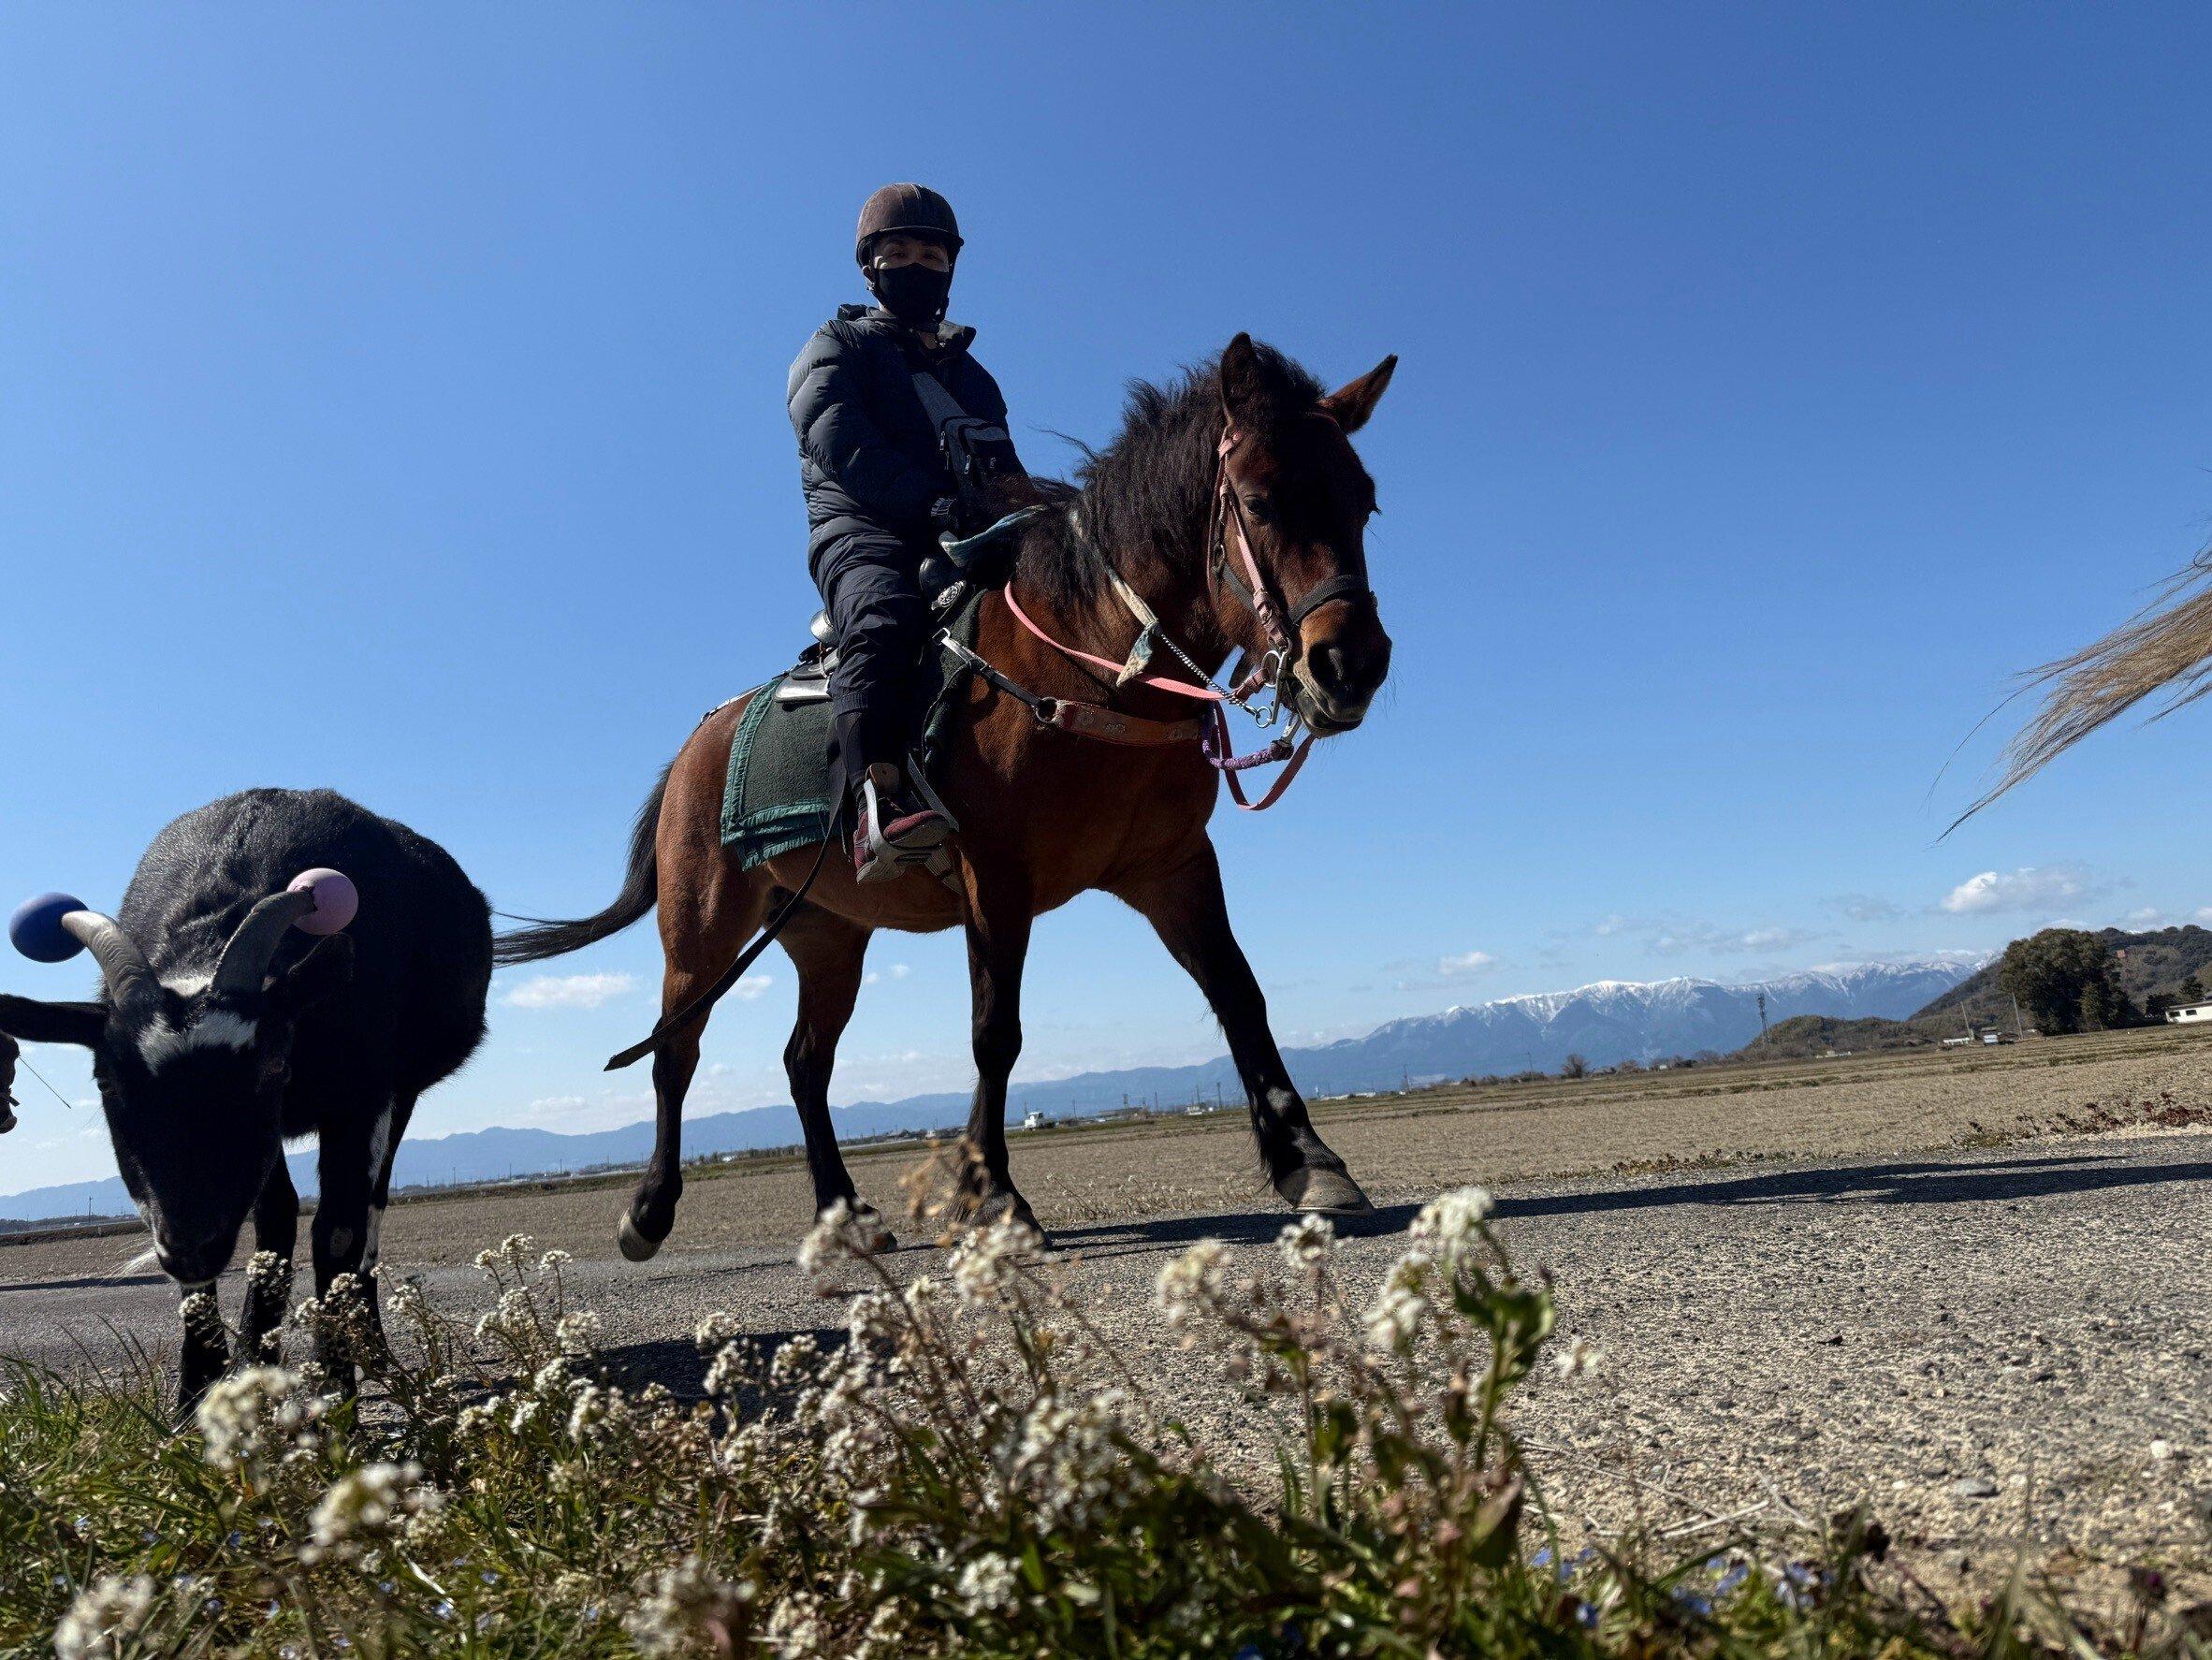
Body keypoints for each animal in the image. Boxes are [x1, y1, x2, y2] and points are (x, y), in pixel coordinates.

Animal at [498, 334, 1397, 1255]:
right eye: (1259, 500)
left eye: (1363, 501)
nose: (1350, 663)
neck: (1088, 661)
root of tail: (692, 750)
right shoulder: (995, 878)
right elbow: (995, 1033)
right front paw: (996, 1195)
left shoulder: (1171, 867)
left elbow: (1239, 993)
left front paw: (1311, 1160)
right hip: (701, 929)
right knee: (677, 1054)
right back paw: (649, 1209)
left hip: (829, 938)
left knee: (804, 1064)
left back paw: (845, 1212)